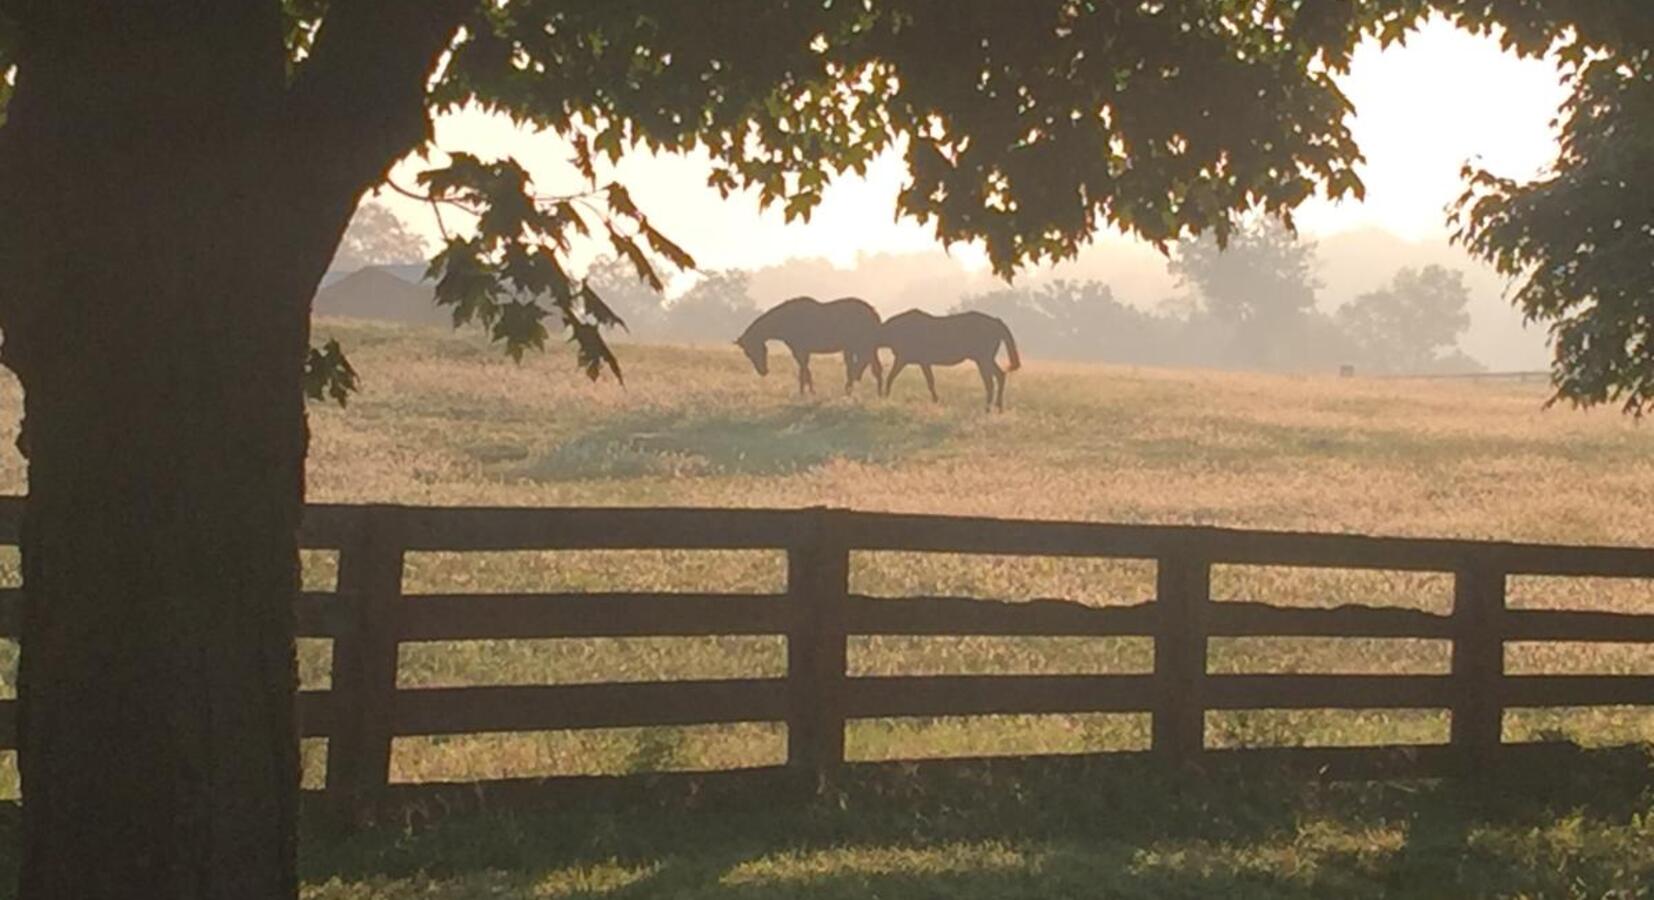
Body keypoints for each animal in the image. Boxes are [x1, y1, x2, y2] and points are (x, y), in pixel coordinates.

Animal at [737, 297, 886, 395]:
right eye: (748, 354)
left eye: (753, 350)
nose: (763, 371)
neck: (786, 319)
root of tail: (873, 312)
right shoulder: (802, 351)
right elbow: (804, 371)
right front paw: (806, 391)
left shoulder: (800, 351)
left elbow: (804, 371)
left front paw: (807, 392)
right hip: (858, 347)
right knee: (870, 367)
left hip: (862, 345)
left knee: (867, 365)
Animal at [879, 307, 1018, 410]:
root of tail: (996, 321)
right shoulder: (921, 362)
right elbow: (929, 381)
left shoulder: (904, 359)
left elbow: (892, 377)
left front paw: (885, 397)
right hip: (986, 360)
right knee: (1000, 375)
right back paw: (998, 407)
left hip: (983, 360)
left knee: (990, 382)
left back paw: (988, 408)